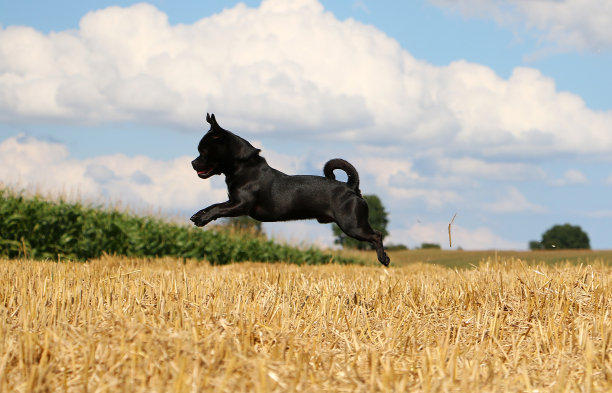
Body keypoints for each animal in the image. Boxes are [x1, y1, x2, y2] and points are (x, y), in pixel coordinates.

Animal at [189, 113, 390, 266]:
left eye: (203, 152)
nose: (192, 162)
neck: (243, 166)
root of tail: (351, 187)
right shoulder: (232, 202)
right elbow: (214, 205)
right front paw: (199, 214)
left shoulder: (240, 205)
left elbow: (217, 208)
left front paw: (202, 219)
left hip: (353, 225)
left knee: (377, 235)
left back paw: (384, 258)